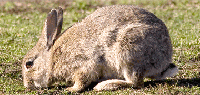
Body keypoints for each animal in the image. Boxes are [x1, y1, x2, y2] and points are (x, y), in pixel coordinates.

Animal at [21, 5, 178, 92]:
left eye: (29, 64)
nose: (27, 85)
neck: (51, 59)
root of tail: (164, 61)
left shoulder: (83, 64)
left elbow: (81, 80)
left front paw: (70, 89)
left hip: (128, 51)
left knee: (135, 82)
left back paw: (104, 85)